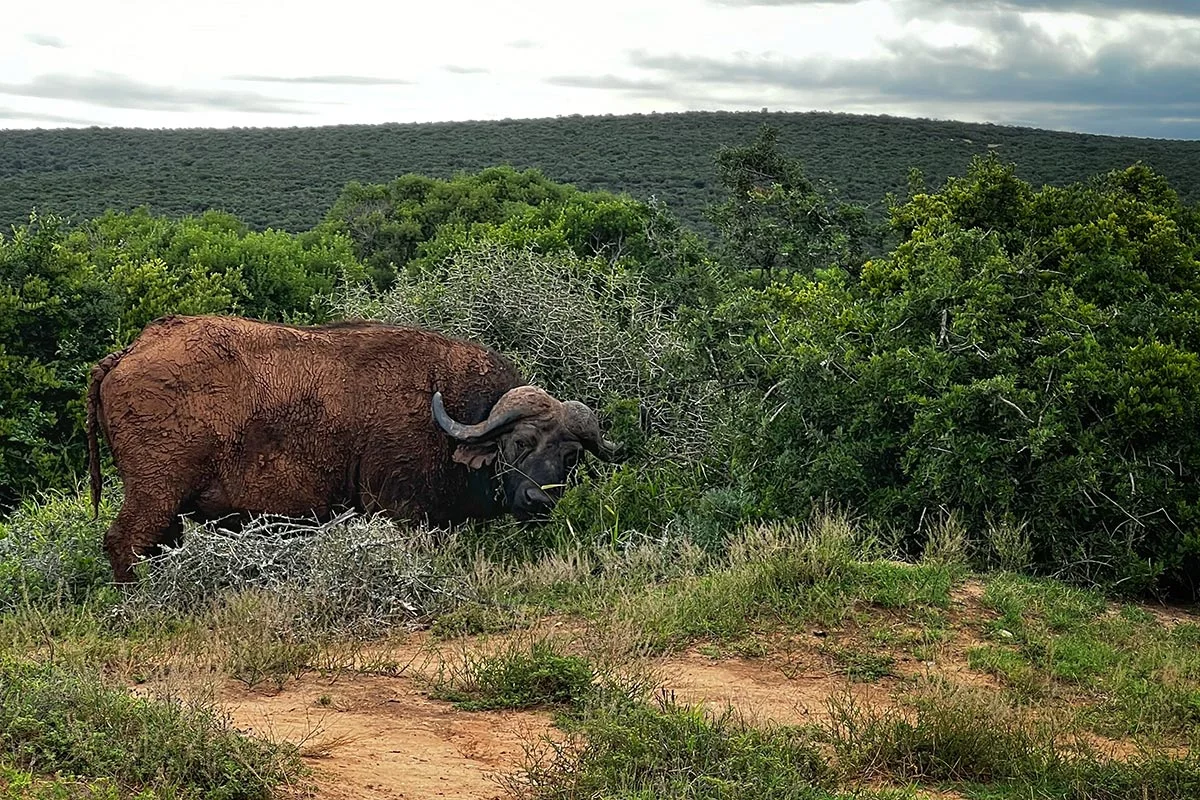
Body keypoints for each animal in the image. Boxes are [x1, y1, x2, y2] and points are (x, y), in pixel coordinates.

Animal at [87, 314, 619, 582]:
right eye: (519, 442)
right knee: (124, 543)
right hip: (155, 494)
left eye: (571, 456)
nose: (539, 501)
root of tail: (128, 353)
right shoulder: (402, 514)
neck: (448, 414)